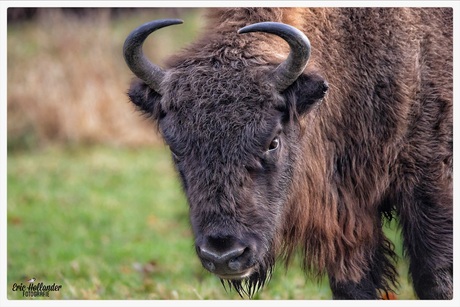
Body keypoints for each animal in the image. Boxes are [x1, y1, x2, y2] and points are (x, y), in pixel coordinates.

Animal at [122, 7, 452, 300]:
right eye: (175, 147)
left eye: (273, 142)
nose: (223, 254)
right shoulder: (348, 221)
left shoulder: (432, 194)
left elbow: (435, 280)